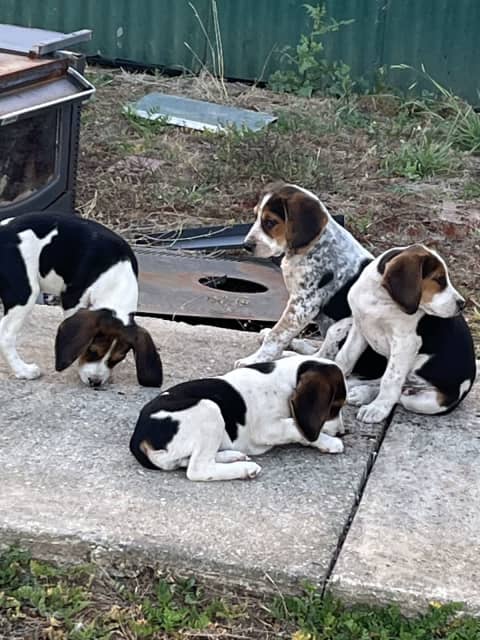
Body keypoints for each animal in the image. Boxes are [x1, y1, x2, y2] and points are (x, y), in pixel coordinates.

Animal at [0, 212, 163, 388]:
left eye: (117, 359)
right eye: (92, 350)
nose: (95, 382)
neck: (116, 279)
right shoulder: (73, 300)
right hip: (25, 294)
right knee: (6, 335)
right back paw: (23, 370)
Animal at [129, 356, 346, 480]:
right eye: (335, 407)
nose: (343, 432)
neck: (286, 379)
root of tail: (138, 438)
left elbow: (300, 429)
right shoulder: (267, 429)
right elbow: (295, 427)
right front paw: (330, 442)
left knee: (189, 461)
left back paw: (232, 456)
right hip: (209, 410)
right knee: (198, 469)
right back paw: (244, 468)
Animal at [234, 180, 384, 378]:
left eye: (270, 222)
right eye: (256, 216)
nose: (246, 245)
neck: (311, 246)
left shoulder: (302, 306)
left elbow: (276, 336)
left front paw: (254, 360)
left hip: (342, 328)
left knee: (325, 357)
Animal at [334, 242, 476, 422]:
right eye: (439, 279)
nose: (462, 304)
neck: (380, 298)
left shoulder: (405, 343)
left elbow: (390, 380)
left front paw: (377, 408)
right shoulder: (359, 328)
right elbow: (345, 357)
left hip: (429, 402)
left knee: (399, 395)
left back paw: (365, 395)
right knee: (388, 383)